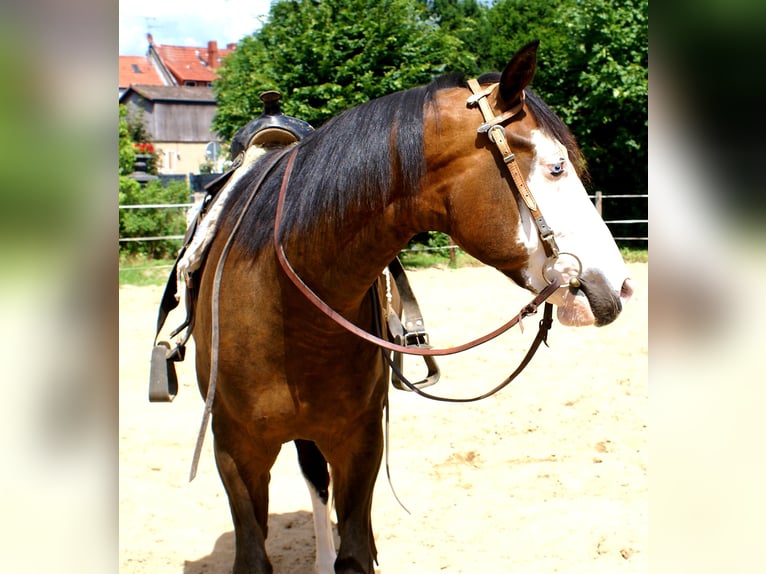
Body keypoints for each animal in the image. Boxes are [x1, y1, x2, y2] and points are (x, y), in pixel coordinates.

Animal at [191, 40, 634, 574]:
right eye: (554, 167)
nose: (622, 285)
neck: (289, 310)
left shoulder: (360, 445)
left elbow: (354, 552)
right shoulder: (234, 453)